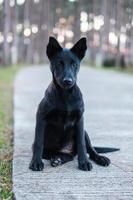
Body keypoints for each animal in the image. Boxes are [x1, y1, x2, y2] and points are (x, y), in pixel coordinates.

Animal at [29, 36, 118, 171]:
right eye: (59, 64)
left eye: (74, 64)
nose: (68, 81)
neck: (66, 95)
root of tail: (66, 150)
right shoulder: (41, 117)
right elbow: (39, 142)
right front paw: (36, 162)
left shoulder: (80, 120)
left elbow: (82, 144)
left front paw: (84, 162)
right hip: (50, 150)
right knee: (64, 155)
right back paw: (57, 159)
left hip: (85, 132)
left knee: (90, 149)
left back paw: (100, 158)